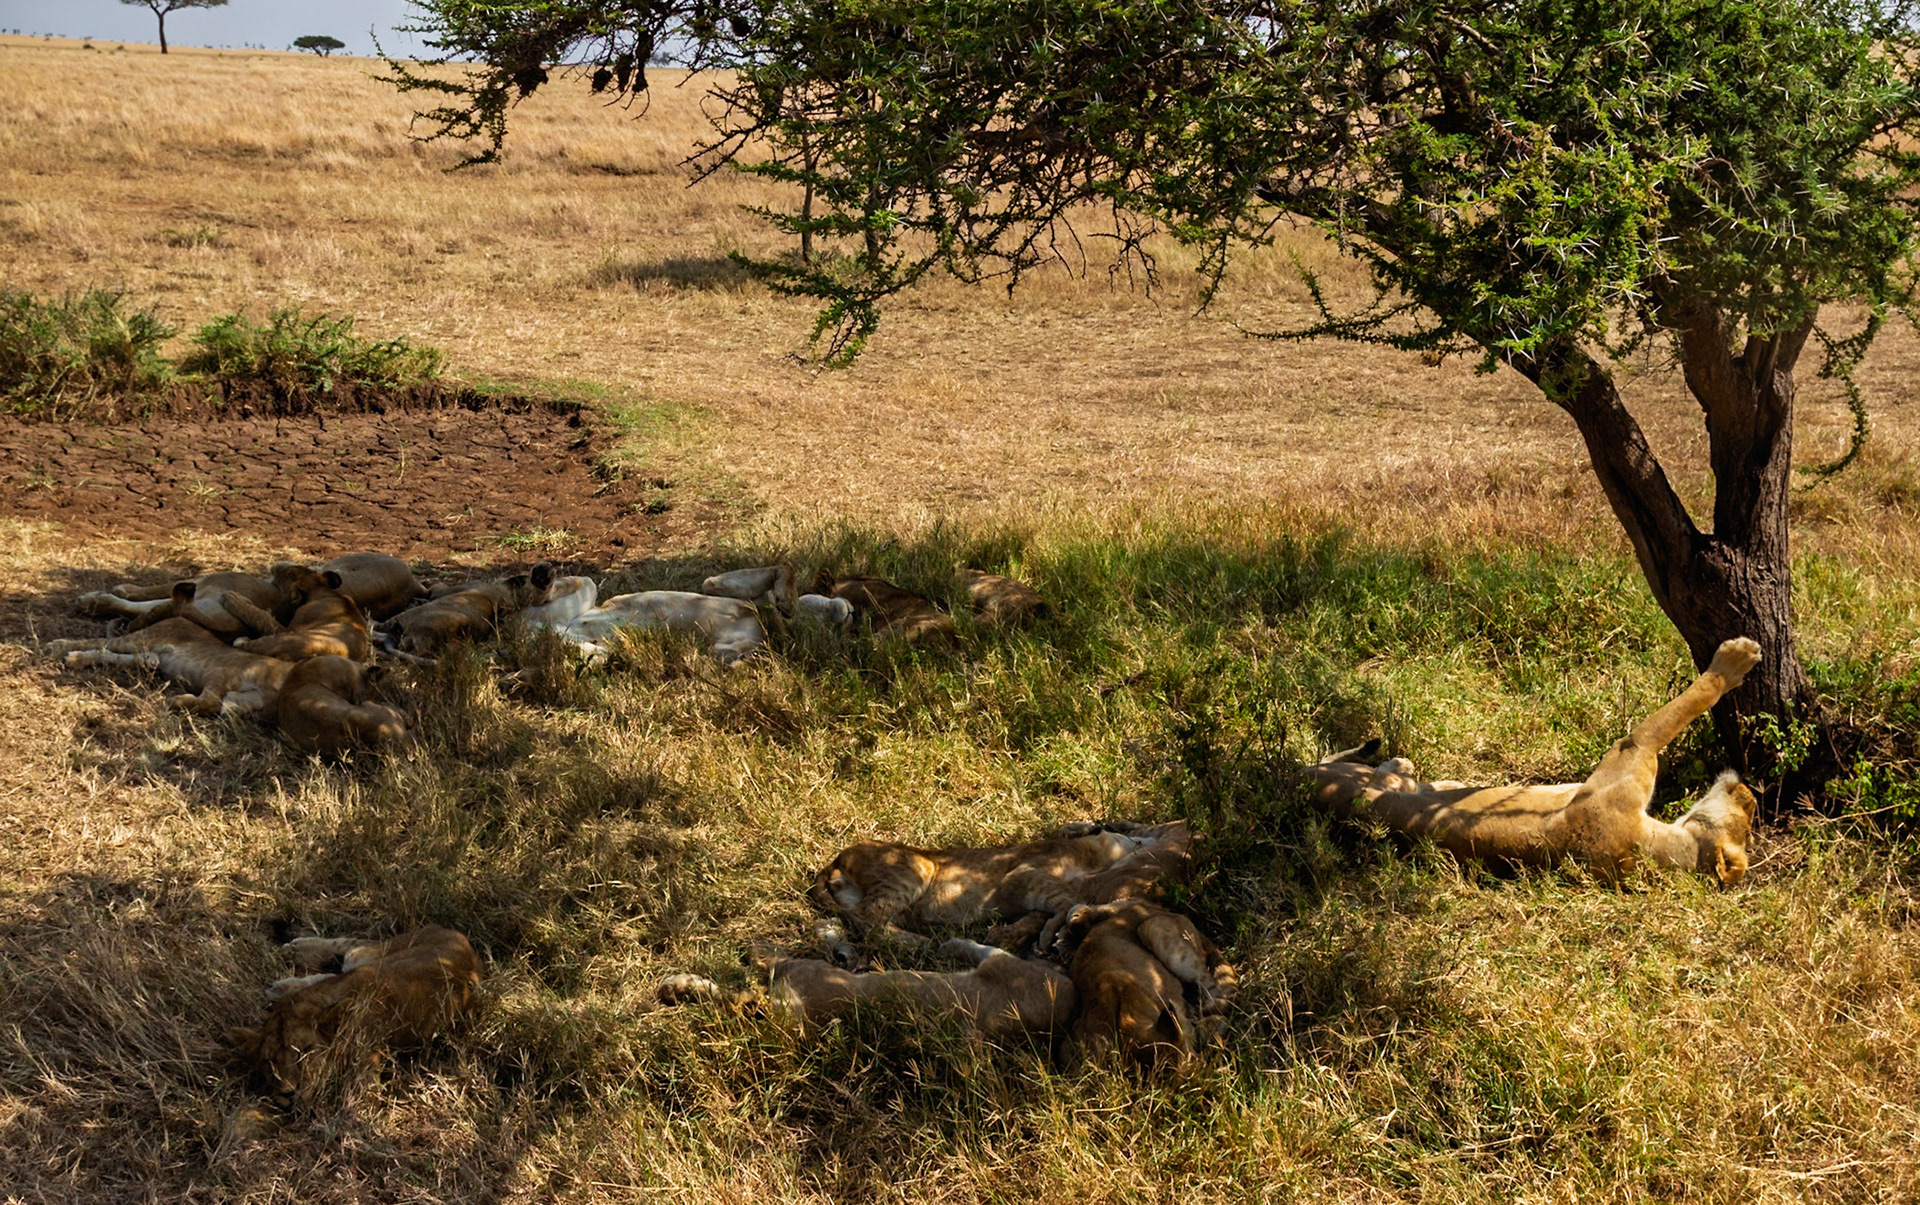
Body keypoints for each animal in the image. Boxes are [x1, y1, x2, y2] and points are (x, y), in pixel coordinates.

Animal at [229, 925, 481, 1102]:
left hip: (367, 956)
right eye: (269, 1062)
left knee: (353, 946)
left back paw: (292, 960)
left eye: (305, 1052)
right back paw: (286, 977)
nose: (288, 1093)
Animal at [376, 563, 553, 656]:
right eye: (540, 577)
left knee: (382, 626)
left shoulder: (448, 590)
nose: (549, 568)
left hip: (410, 620)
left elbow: (435, 588)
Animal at [812, 820, 1192, 948]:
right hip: (915, 866)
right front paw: (1051, 934)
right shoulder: (1023, 875)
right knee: (865, 918)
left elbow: (1047, 910)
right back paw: (920, 943)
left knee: (868, 918)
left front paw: (1016, 934)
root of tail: (835, 860)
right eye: (1135, 837)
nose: (1142, 841)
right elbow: (1066, 898)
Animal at [1307, 636, 1764, 885]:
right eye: (1750, 814)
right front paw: (1737, 658)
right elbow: (1685, 704)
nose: (1748, 788)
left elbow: (1686, 703)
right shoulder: (1634, 749)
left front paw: (1734, 659)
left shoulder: (1632, 748)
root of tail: (1302, 786)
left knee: (1391, 770)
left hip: (1375, 781)